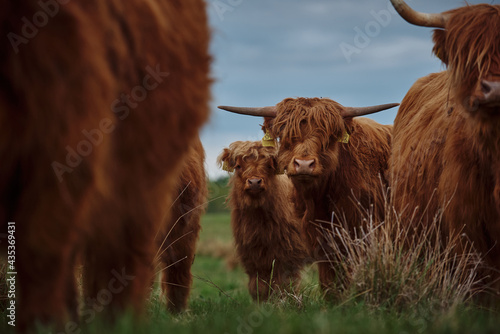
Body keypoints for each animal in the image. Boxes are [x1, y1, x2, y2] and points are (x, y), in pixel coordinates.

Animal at [218, 140, 308, 302]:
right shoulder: (253, 257)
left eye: (269, 165)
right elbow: (259, 287)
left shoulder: (289, 257)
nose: (254, 182)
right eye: (238, 166)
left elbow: (284, 285)